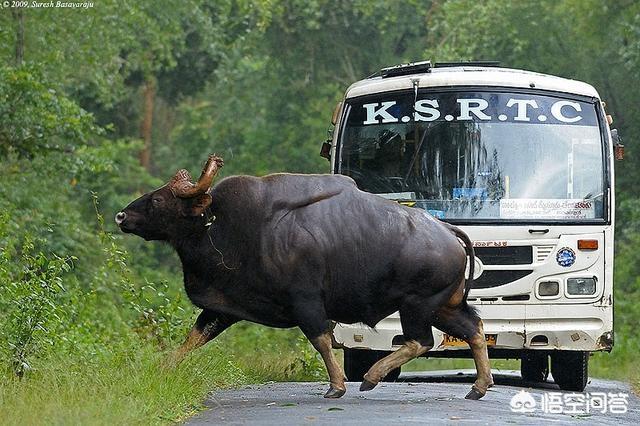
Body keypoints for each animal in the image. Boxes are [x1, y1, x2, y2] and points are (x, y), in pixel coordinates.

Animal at [116, 156, 496, 400]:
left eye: (159, 199)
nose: (121, 215)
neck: (223, 227)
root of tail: (449, 232)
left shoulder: (306, 302)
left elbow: (320, 339)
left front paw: (336, 386)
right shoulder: (224, 307)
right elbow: (192, 339)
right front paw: (160, 369)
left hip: (416, 306)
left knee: (420, 340)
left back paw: (372, 377)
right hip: (443, 307)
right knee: (474, 329)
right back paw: (478, 387)